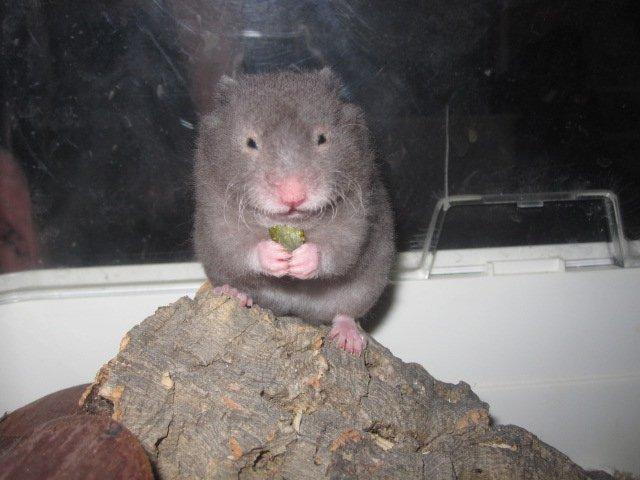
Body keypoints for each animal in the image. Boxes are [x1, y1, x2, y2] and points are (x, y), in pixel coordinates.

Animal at [194, 68, 394, 355]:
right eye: (251, 142)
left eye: (322, 138)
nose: (293, 196)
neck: (294, 220)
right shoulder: (217, 215)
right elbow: (239, 247)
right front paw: (278, 257)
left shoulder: (358, 214)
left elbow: (338, 249)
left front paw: (299, 261)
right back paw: (235, 294)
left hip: (363, 290)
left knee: (346, 312)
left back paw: (349, 340)